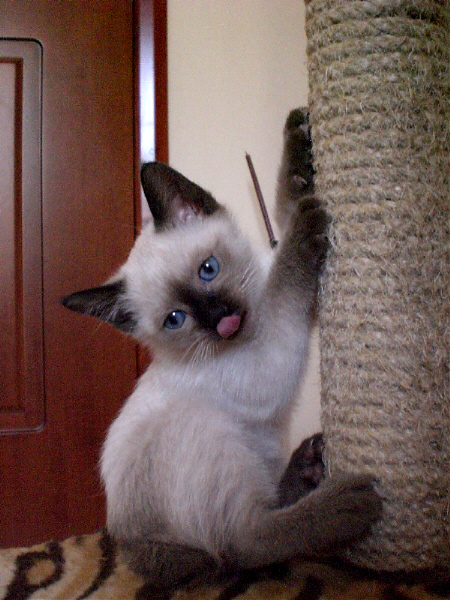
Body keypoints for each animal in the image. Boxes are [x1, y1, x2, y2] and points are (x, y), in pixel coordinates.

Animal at [62, 109, 381, 589]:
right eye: (176, 320)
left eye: (208, 270)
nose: (223, 321)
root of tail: (135, 546)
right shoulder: (272, 352)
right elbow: (289, 274)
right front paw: (308, 227)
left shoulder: (276, 284)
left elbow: (284, 207)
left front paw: (300, 145)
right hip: (213, 435)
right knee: (242, 544)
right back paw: (344, 505)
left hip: (259, 451)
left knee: (265, 507)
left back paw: (307, 467)